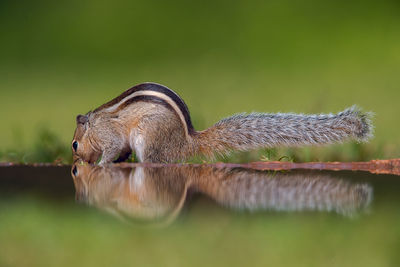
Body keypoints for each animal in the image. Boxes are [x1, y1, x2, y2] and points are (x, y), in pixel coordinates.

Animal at [71, 82, 372, 164]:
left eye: (74, 145)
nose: (78, 162)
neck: (92, 126)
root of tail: (187, 142)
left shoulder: (108, 134)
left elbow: (111, 148)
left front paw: (101, 164)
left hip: (148, 138)